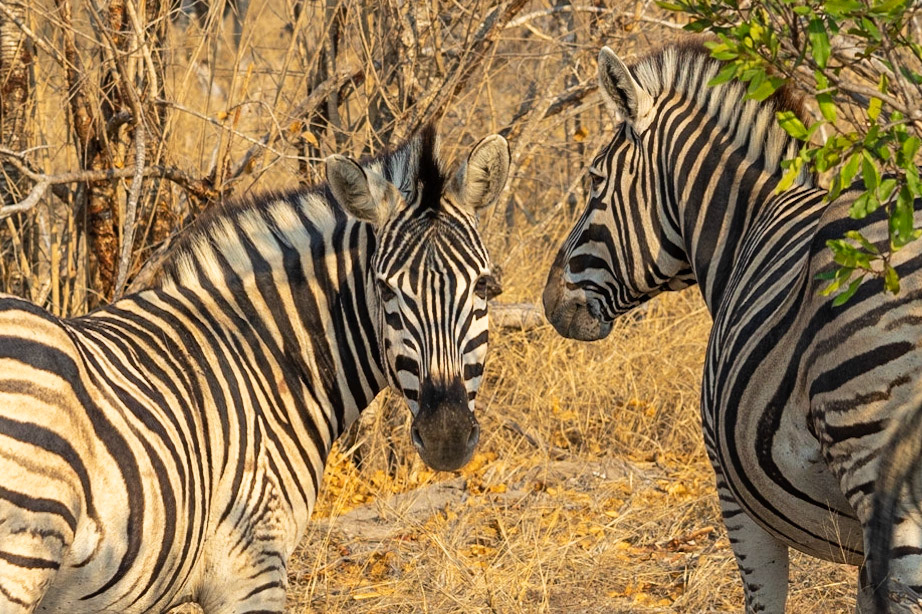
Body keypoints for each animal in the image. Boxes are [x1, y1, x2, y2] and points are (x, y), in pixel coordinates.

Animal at [0, 124, 509, 613]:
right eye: (385, 291)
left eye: (484, 287)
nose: (446, 436)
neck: (268, 357)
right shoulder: (251, 568)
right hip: (23, 552)